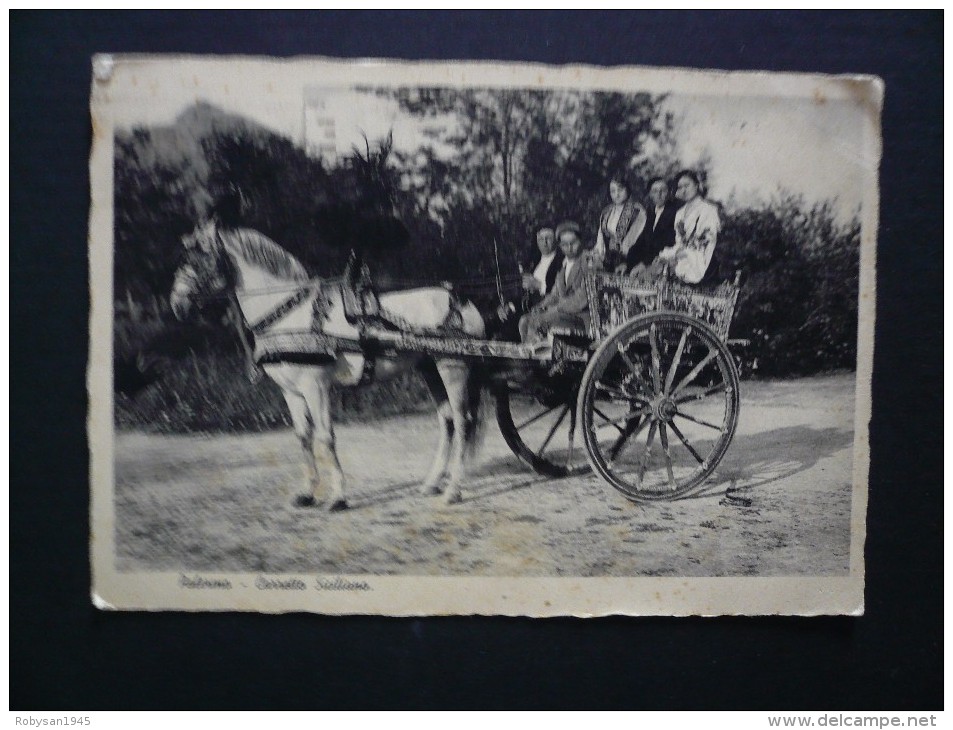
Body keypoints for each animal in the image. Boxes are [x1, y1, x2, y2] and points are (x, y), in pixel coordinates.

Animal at [167, 219, 488, 510]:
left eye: (199, 259)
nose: (176, 304)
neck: (290, 315)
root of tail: (462, 301)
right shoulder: (291, 392)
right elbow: (303, 437)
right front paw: (307, 493)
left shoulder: (315, 386)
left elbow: (325, 437)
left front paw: (337, 498)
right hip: (429, 369)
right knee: (447, 420)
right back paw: (432, 483)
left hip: (452, 367)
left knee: (463, 421)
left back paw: (453, 490)